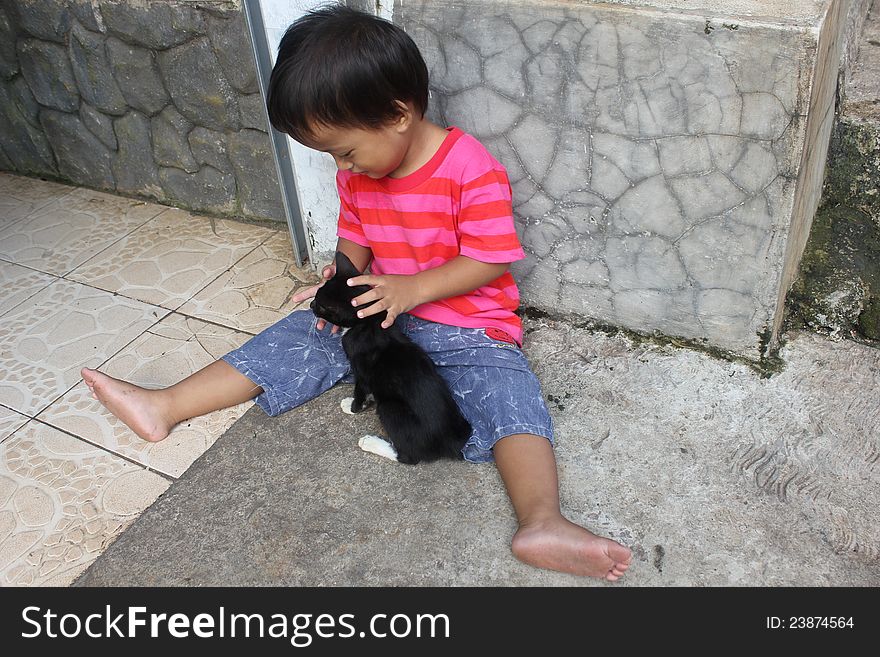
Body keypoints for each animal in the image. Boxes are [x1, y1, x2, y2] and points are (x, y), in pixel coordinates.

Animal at [312, 252, 470, 466]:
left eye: (321, 306)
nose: (310, 305)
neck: (371, 321)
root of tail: (450, 443)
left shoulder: (361, 370)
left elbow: (360, 390)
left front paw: (353, 406)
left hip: (389, 408)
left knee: (408, 457)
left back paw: (370, 442)